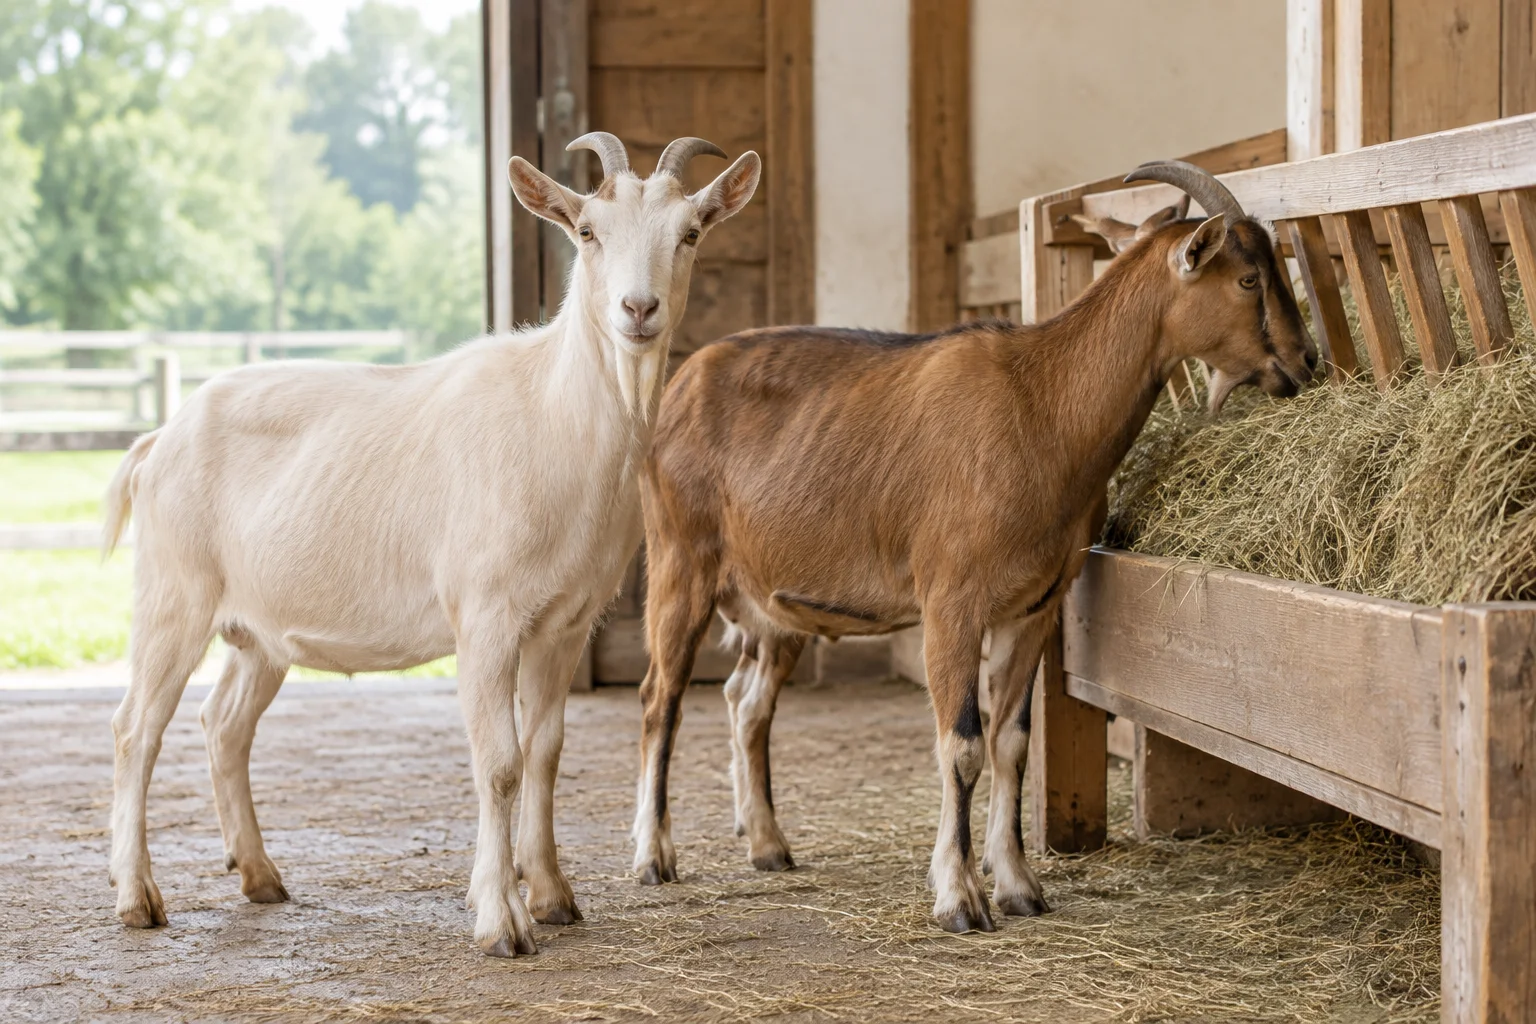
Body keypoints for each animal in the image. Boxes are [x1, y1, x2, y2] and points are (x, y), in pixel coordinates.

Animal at [101, 132, 760, 957]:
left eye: (691, 232)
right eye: (587, 231)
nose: (638, 309)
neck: (556, 416)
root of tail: (159, 438)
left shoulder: (565, 622)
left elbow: (546, 751)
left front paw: (553, 895)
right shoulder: (486, 614)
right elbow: (500, 761)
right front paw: (501, 921)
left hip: (257, 632)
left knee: (224, 727)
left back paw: (260, 876)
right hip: (173, 593)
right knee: (136, 731)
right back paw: (137, 897)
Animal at [632, 162, 1316, 933]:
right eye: (1250, 280)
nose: (1306, 362)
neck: (1043, 404)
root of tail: (679, 383)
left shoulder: (1033, 608)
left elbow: (1010, 744)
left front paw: (1019, 885)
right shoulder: (952, 602)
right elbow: (960, 745)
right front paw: (959, 896)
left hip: (773, 603)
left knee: (747, 703)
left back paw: (769, 844)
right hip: (679, 559)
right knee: (661, 698)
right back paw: (653, 856)